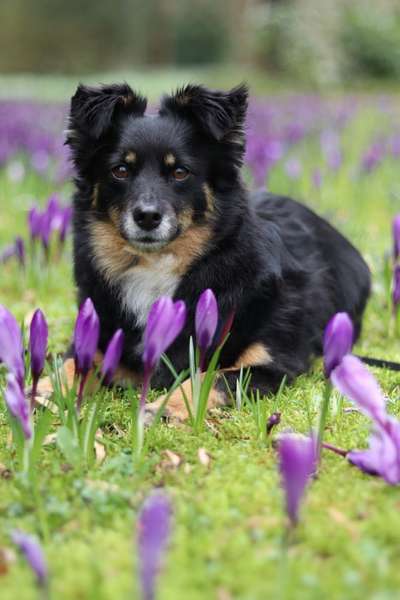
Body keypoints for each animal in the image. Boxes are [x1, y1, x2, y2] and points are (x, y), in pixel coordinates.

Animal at [53, 83, 372, 422]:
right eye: (121, 170)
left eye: (180, 172)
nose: (147, 217)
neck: (157, 266)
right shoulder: (99, 339)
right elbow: (69, 367)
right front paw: (42, 393)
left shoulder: (270, 362)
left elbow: (206, 378)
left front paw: (163, 409)